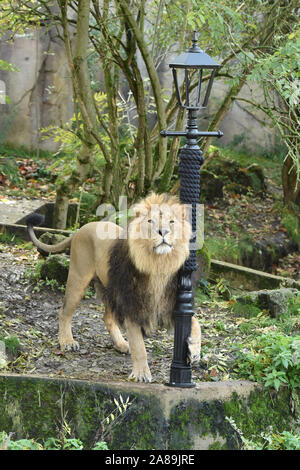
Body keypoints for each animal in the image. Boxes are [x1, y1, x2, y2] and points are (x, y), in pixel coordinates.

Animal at [27, 193, 202, 384]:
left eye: (171, 222)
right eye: (150, 221)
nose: (164, 232)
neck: (158, 264)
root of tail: (82, 228)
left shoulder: (170, 304)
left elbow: (195, 323)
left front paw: (194, 351)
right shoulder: (132, 305)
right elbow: (139, 346)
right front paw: (141, 373)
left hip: (112, 290)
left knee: (107, 318)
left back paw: (121, 344)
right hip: (78, 279)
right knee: (64, 311)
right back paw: (67, 341)